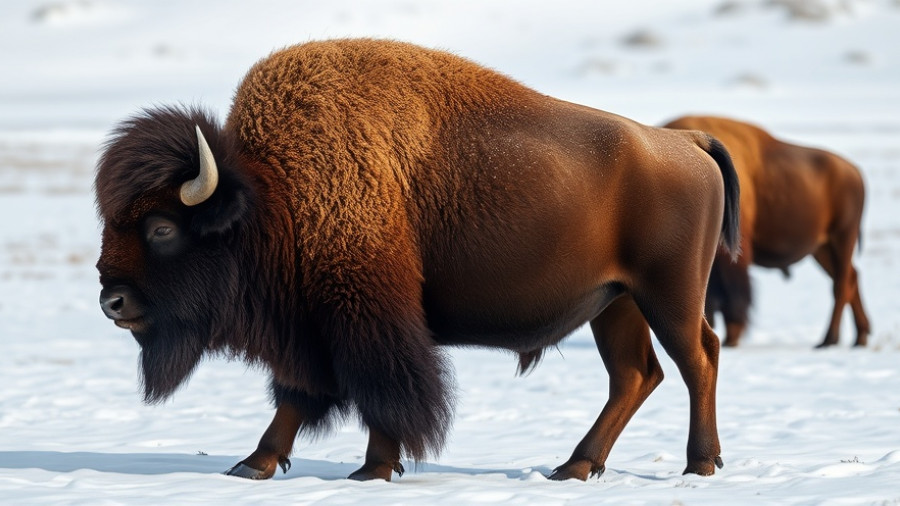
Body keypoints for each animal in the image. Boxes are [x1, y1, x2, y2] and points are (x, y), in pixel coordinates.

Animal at [95, 39, 739, 481]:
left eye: (161, 228)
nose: (112, 301)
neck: (270, 191)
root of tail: (684, 143)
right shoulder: (313, 326)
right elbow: (299, 393)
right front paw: (254, 464)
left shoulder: (365, 315)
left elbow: (383, 389)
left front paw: (372, 469)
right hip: (615, 304)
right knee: (635, 375)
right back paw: (574, 468)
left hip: (668, 295)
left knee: (697, 359)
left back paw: (699, 465)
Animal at [664, 115, 869, 348]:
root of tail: (854, 172)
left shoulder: (731, 254)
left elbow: (733, 295)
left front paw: (731, 338)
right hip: (822, 249)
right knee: (850, 278)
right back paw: (859, 337)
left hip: (842, 238)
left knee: (841, 285)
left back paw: (828, 340)